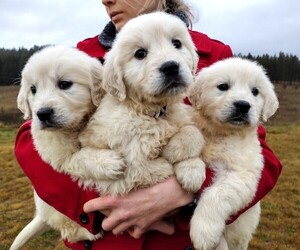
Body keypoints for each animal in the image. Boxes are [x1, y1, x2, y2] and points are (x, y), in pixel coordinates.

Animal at [10, 46, 106, 249]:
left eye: (65, 84)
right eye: (33, 89)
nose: (42, 114)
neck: (74, 127)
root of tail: (41, 216)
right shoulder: (53, 149)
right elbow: (75, 158)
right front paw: (108, 162)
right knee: (68, 229)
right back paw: (89, 233)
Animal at [76, 12, 205, 196]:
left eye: (177, 43)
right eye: (140, 53)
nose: (171, 67)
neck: (152, 112)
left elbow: (193, 131)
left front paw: (190, 168)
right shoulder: (130, 170)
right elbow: (152, 169)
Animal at [188, 57, 278, 250]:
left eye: (255, 91)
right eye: (223, 86)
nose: (243, 105)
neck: (221, 133)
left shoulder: (242, 172)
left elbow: (216, 194)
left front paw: (203, 232)